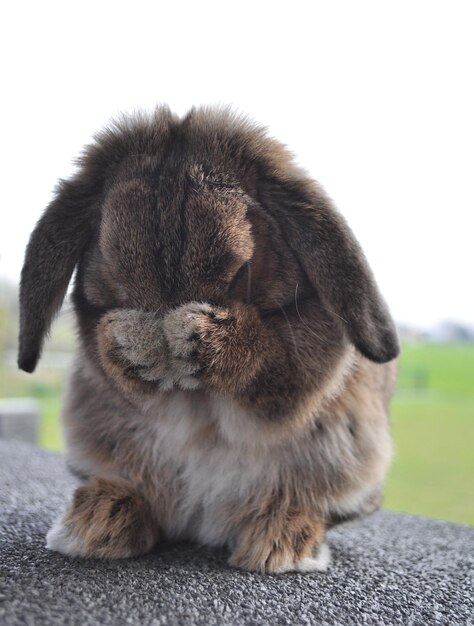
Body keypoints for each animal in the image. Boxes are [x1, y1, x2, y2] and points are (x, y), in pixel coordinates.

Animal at [18, 106, 398, 572]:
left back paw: (280, 541)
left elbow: (272, 363)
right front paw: (137, 342)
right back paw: (96, 523)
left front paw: (193, 337)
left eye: (241, 271)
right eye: (113, 270)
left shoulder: (304, 362)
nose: (164, 320)